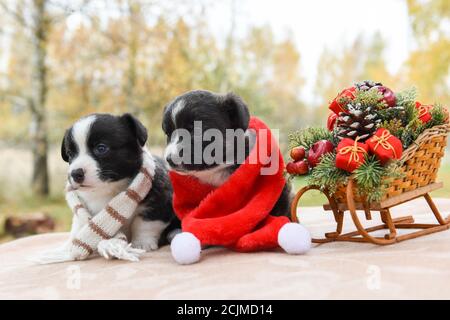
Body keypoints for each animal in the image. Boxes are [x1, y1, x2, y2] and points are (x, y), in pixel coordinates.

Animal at [61, 112, 179, 250]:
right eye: (70, 154)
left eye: (101, 148)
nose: (75, 173)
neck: (109, 189)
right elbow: (78, 224)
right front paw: (70, 244)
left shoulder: (160, 203)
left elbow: (143, 224)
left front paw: (142, 243)